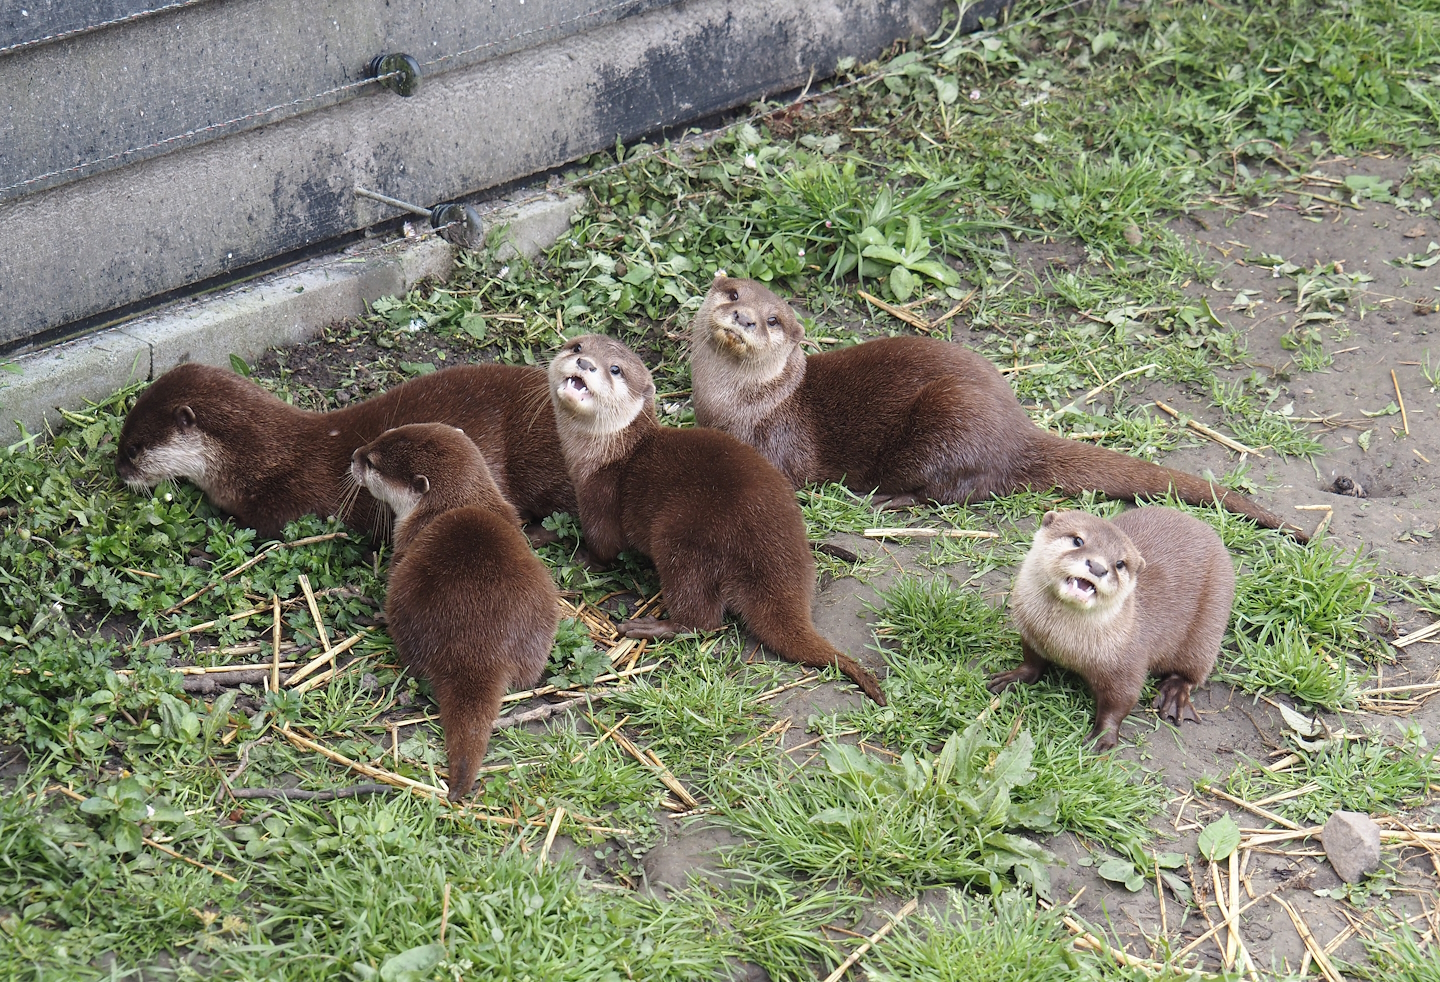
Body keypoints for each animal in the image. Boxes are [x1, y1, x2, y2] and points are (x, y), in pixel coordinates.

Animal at [352, 423, 559, 801]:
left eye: (371, 463)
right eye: (383, 434)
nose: (354, 455)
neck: (457, 501)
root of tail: (477, 651)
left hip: (408, 603)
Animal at [547, 333, 885, 705]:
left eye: (615, 369)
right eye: (577, 347)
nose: (585, 363)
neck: (610, 454)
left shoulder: (600, 497)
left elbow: (603, 547)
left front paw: (575, 556)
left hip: (683, 538)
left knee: (703, 618)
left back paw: (650, 627)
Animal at [689, 276, 1304, 540]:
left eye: (773, 320)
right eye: (734, 295)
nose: (744, 318)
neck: (740, 403)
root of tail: (1019, 432)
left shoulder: (782, 441)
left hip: (950, 417)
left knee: (955, 490)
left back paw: (890, 500)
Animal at [989, 507, 1235, 750]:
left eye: (1119, 564)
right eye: (1078, 540)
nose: (1098, 567)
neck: (1063, 644)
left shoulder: (1128, 661)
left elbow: (1120, 701)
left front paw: (1103, 737)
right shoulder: (1030, 631)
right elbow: (1032, 661)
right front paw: (1011, 679)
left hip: (1207, 627)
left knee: (1193, 672)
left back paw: (1173, 694)